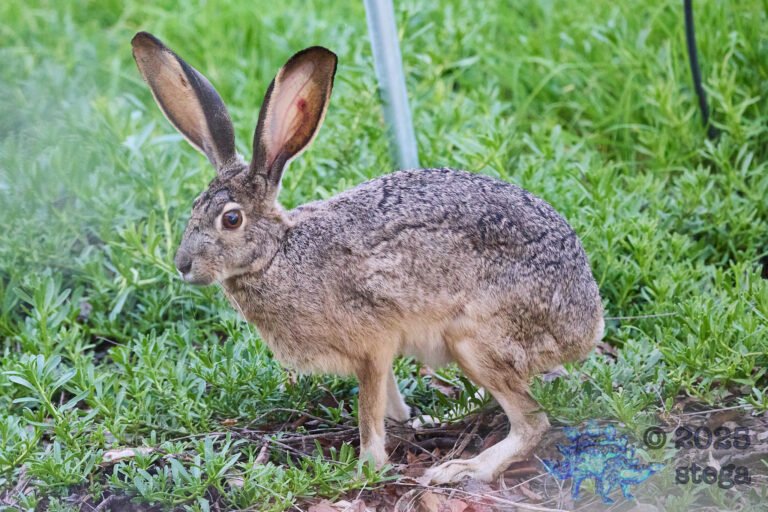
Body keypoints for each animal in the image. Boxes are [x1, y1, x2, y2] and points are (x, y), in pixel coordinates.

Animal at [131, 31, 604, 484]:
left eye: (231, 219)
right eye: (194, 206)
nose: (183, 265)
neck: (278, 254)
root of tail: (588, 322)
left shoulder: (372, 343)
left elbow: (369, 410)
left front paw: (367, 467)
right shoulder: (379, 352)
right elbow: (388, 400)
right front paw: (405, 422)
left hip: (475, 340)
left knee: (532, 421)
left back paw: (463, 469)